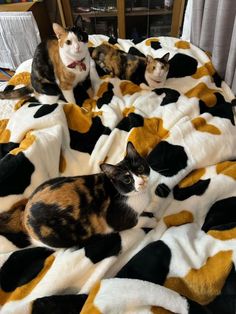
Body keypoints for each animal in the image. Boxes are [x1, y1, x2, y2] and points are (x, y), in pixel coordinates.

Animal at [22, 142, 151, 248]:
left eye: (140, 169)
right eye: (127, 180)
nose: (142, 182)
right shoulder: (116, 220)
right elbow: (141, 221)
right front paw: (153, 220)